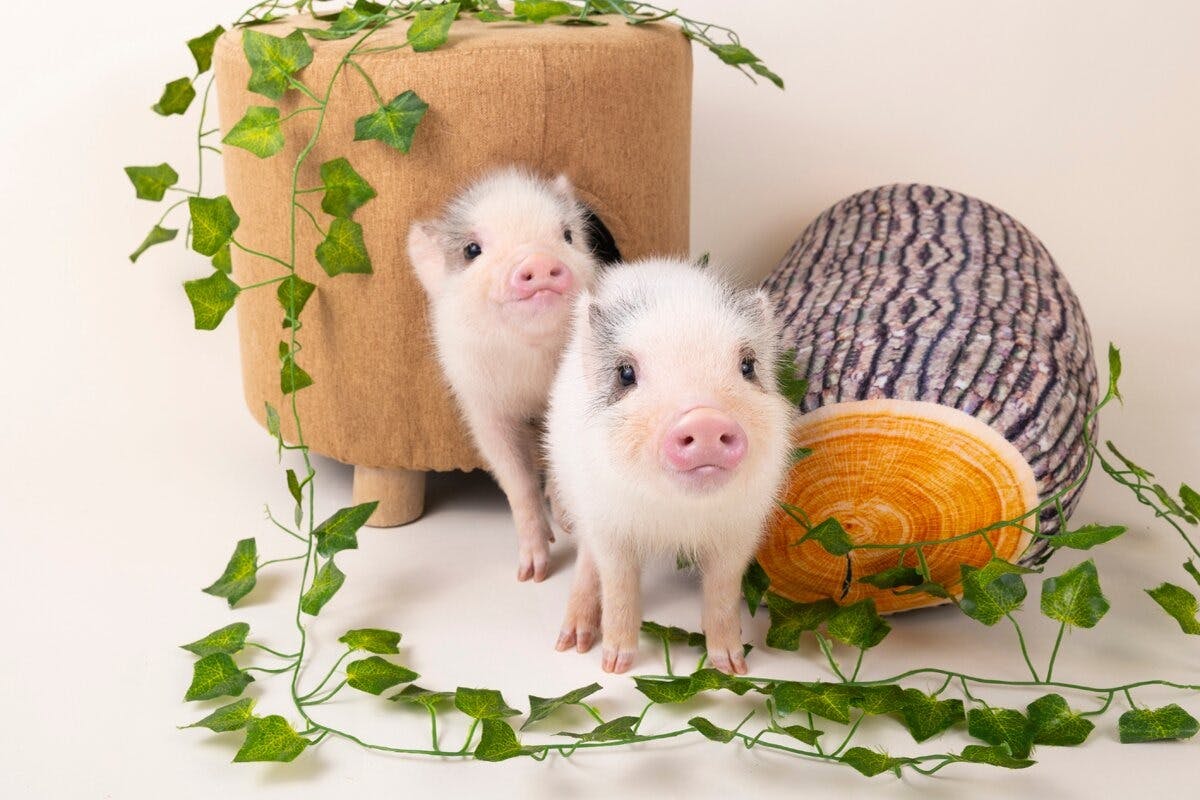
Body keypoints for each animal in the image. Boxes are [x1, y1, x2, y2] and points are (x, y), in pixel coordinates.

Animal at [407, 167, 619, 582]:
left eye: (567, 235)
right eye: (472, 250)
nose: (537, 259)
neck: (530, 373)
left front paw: (568, 525)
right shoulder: (482, 407)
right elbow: (514, 476)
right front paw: (532, 573)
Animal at [547, 258, 795, 674]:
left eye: (747, 365)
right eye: (625, 373)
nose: (705, 420)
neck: (676, 517)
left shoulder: (741, 530)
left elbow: (723, 592)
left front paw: (732, 666)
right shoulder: (608, 524)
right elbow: (619, 587)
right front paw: (614, 666)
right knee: (586, 557)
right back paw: (571, 643)